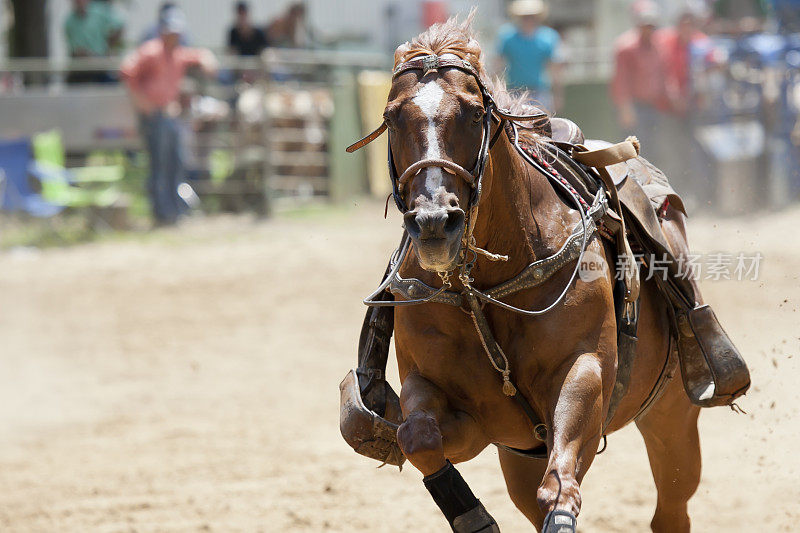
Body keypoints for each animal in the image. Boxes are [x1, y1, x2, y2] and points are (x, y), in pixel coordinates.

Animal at [364, 14, 708, 528]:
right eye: (392, 118)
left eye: (472, 113)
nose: (434, 222)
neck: (482, 292)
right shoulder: (452, 404)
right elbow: (419, 438)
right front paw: (474, 517)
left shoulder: (583, 372)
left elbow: (561, 482)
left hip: (673, 419)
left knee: (670, 510)